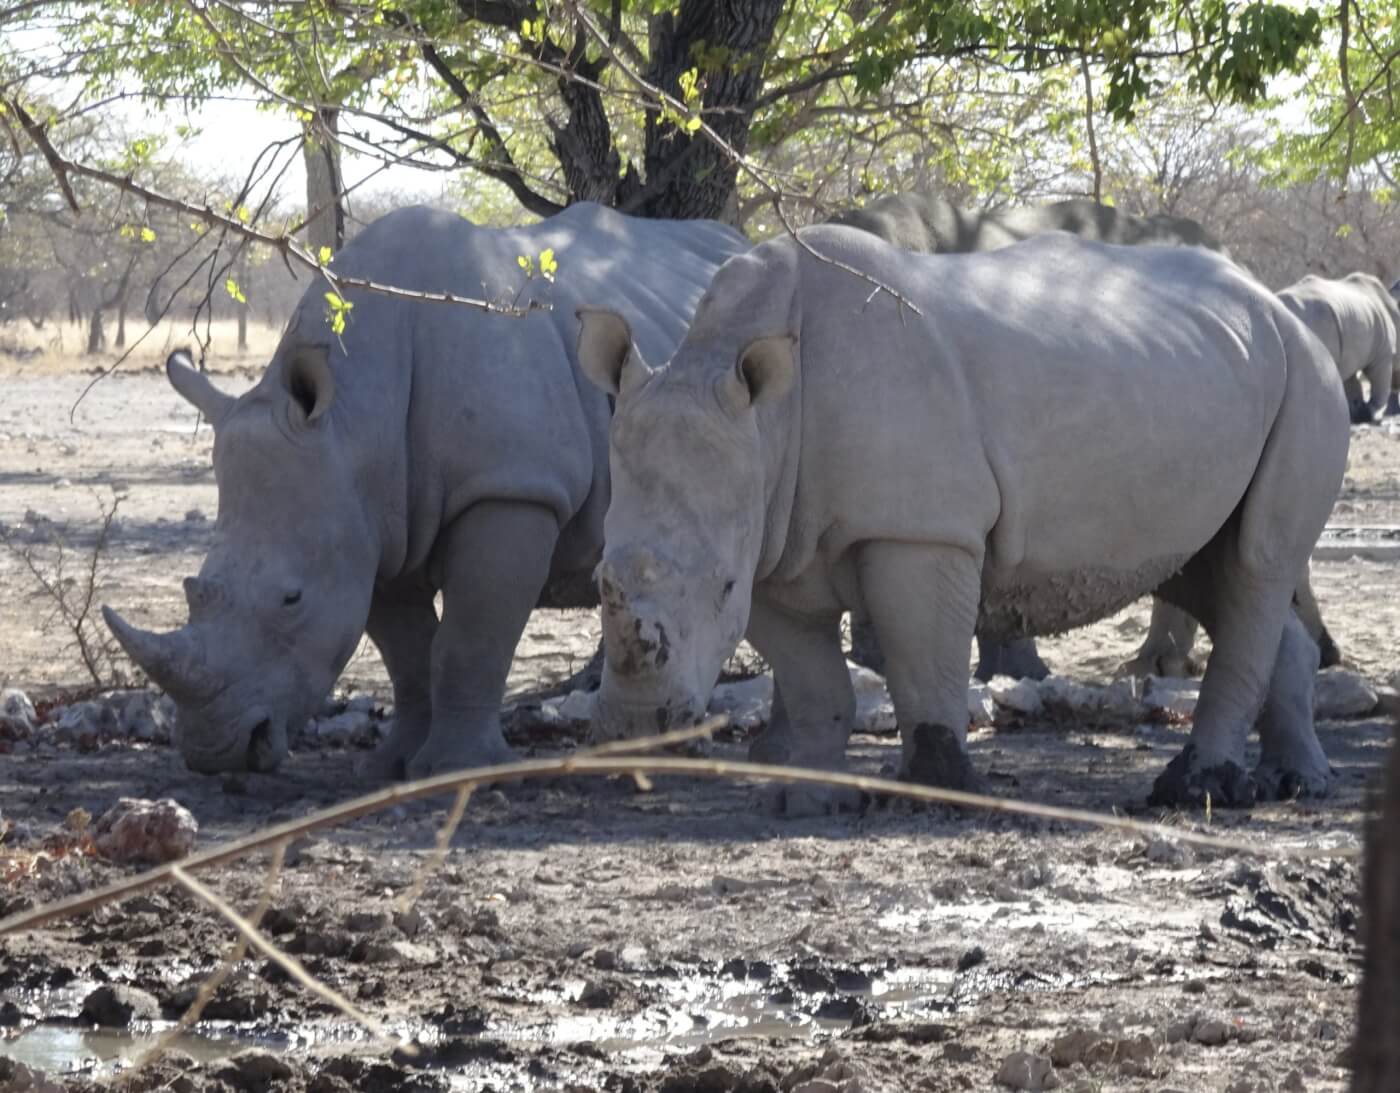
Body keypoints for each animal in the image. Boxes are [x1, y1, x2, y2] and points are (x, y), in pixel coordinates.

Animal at [103, 198, 750, 778]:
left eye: (292, 599)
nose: (216, 752)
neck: (355, 421)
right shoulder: (368, 520)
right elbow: (408, 652)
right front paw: (388, 767)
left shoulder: (510, 487)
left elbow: (468, 640)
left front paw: (456, 770)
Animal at [576, 225, 1344, 811]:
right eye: (599, 579)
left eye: (722, 588)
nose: (638, 723)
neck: (766, 421)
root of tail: (1279, 306)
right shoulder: (769, 541)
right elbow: (813, 681)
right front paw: (810, 798)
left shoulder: (920, 530)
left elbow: (924, 663)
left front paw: (937, 795)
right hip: (1212, 381)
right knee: (1202, 566)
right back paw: (1295, 783)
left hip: (1310, 377)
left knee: (1257, 563)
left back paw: (1195, 792)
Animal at [1282, 270, 1400, 425]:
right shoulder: (1383, 353)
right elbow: (1379, 382)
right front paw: (1371, 415)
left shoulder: (1350, 352)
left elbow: (1352, 384)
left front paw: (1357, 414)